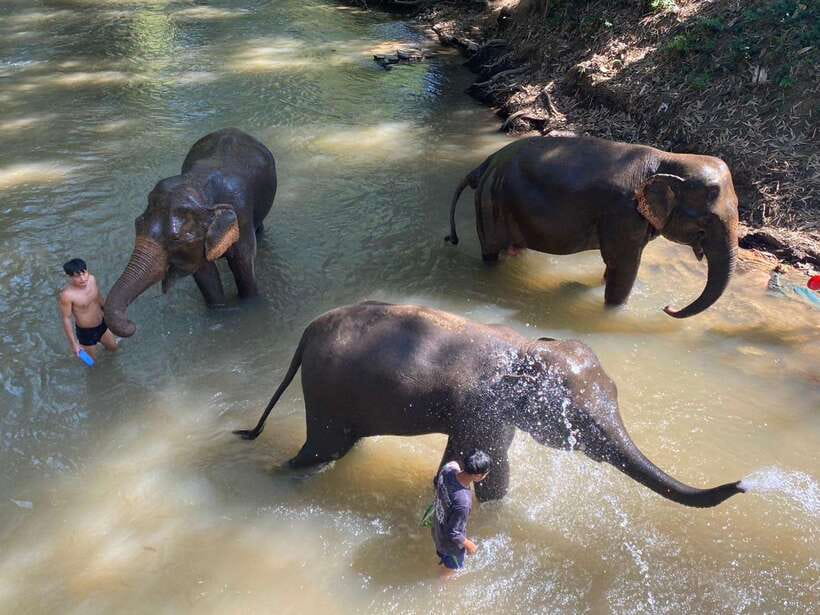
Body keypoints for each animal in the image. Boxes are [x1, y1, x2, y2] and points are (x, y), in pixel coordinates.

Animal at [104, 128, 277, 337]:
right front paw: (219, 311)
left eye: (176, 239)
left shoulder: (241, 213)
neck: (198, 186)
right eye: (137, 223)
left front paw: (249, 305)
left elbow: (242, 262)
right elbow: (204, 273)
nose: (132, 324)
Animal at [235, 301, 744, 507]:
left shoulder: (494, 414)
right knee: (319, 450)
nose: (741, 484)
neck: (522, 347)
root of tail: (306, 332)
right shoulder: (483, 407)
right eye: (581, 424)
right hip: (326, 393)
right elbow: (486, 471)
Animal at [445, 136, 740, 318]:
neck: (668, 158)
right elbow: (624, 266)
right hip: (491, 204)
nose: (668, 307)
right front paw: (613, 312)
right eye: (707, 220)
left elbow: (616, 265)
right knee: (491, 253)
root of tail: (484, 165)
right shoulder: (622, 213)